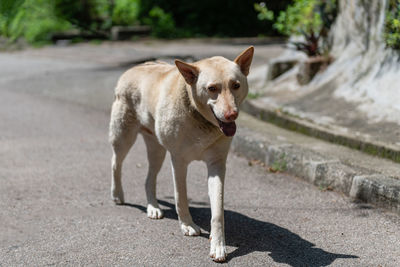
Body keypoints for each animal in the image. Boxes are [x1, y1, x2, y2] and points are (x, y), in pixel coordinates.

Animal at [108, 46, 253, 264]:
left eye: (236, 85)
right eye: (212, 88)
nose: (231, 115)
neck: (198, 115)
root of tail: (136, 67)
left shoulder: (217, 165)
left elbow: (218, 210)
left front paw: (218, 245)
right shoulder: (178, 161)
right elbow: (181, 197)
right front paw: (187, 225)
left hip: (157, 150)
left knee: (149, 179)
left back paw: (152, 207)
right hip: (123, 138)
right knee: (116, 164)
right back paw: (117, 194)